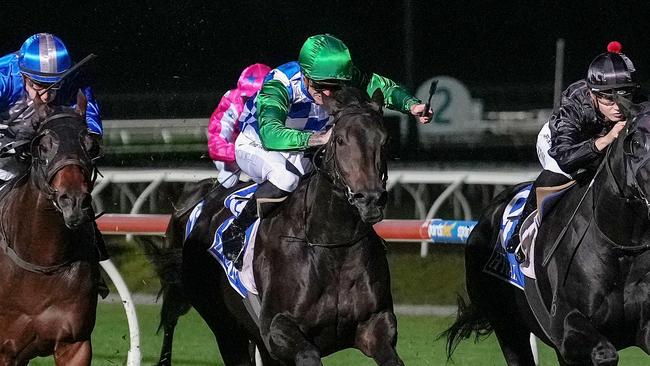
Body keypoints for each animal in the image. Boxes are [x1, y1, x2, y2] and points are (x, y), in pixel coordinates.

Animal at [148, 88, 400, 366]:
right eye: (341, 140)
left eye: (385, 140)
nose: (370, 199)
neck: (332, 247)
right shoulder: (277, 329)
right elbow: (305, 351)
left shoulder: (376, 324)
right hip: (224, 326)